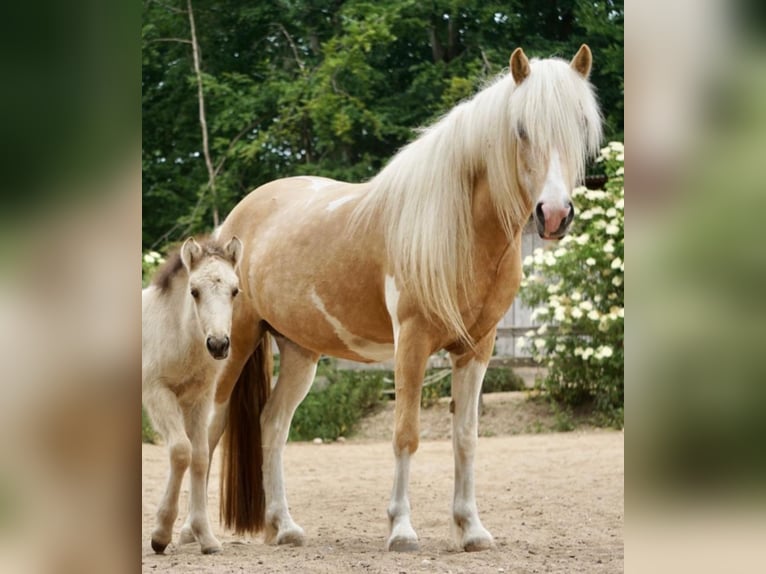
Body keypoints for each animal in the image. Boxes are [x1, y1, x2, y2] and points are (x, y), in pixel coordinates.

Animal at [142, 235, 242, 554]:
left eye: (235, 291)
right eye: (194, 291)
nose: (219, 344)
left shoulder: (200, 399)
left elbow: (200, 456)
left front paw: (206, 537)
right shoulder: (158, 393)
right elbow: (180, 451)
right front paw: (160, 534)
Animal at [209, 45, 602, 552]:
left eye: (580, 124)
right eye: (521, 128)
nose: (553, 215)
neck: (458, 228)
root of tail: (237, 219)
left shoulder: (478, 348)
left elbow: (466, 437)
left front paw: (472, 529)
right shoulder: (411, 343)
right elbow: (406, 435)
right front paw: (401, 529)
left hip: (300, 352)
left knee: (272, 424)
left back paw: (285, 526)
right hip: (234, 344)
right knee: (208, 428)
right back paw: (190, 531)